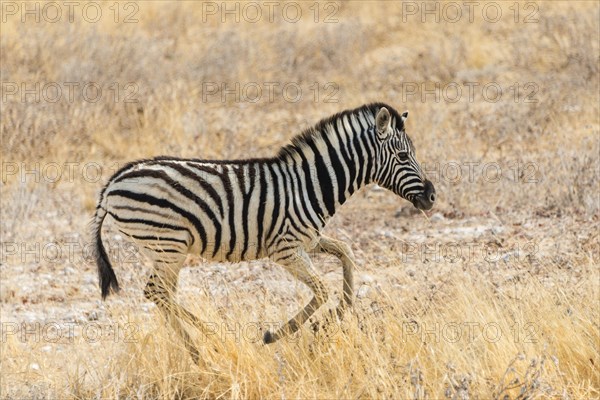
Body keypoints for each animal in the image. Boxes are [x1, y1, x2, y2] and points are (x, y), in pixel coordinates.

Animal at [91, 101, 434, 360]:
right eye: (403, 156)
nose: (432, 196)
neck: (310, 185)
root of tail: (112, 185)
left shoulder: (308, 241)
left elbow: (346, 255)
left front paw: (335, 316)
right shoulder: (286, 250)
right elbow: (323, 290)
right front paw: (280, 334)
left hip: (166, 249)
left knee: (161, 294)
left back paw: (200, 353)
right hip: (168, 245)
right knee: (156, 292)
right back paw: (213, 341)